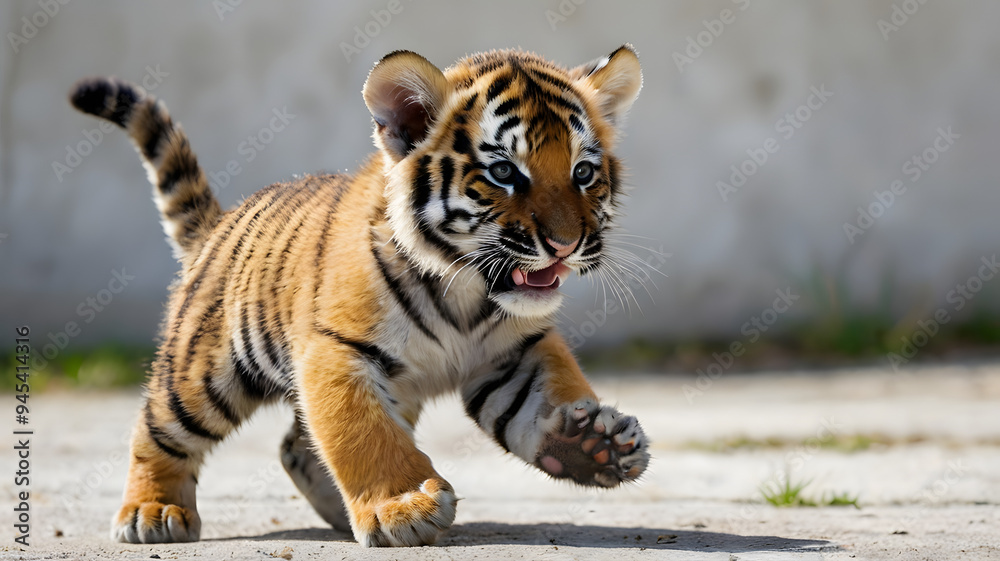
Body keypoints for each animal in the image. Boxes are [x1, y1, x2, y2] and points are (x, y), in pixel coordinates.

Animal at [68, 45, 649, 547]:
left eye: (583, 172)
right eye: (504, 171)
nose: (565, 244)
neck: (466, 290)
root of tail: (218, 225)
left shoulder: (515, 352)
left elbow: (542, 394)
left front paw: (591, 444)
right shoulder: (337, 350)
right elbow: (362, 433)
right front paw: (403, 507)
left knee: (297, 448)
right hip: (204, 374)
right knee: (158, 431)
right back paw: (153, 512)